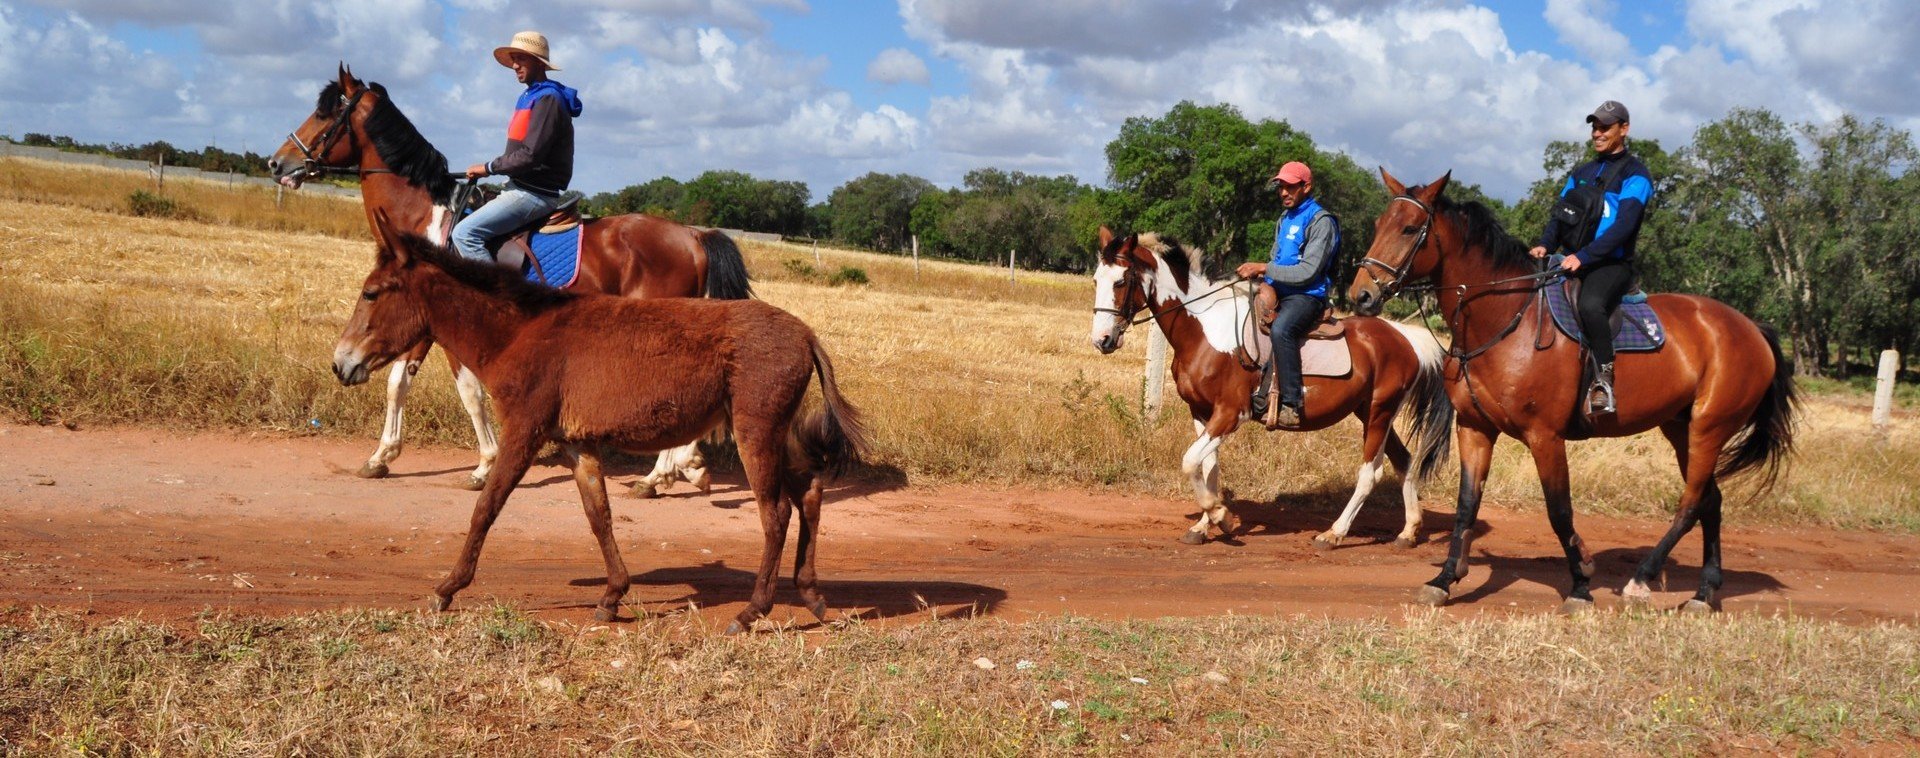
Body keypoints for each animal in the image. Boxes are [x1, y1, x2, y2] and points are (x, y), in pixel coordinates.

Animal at [270, 66, 748, 498]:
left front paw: (485, 464)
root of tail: (692, 235)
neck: (430, 217)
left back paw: (661, 474)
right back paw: (675, 470)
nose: (277, 162)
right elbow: (398, 383)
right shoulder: (420, 323)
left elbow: (469, 392)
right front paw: (381, 457)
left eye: (325, 112)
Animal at [334, 212, 867, 629]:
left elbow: (487, 508)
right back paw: (812, 597)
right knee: (811, 495)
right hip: (778, 434)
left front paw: (448, 587)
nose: (341, 364)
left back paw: (752, 610)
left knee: (776, 513)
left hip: (755, 432)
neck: (520, 333)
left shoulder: (524, 432)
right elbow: (599, 517)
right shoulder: (576, 444)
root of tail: (806, 333)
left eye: (371, 293)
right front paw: (612, 595)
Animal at [1090, 228, 1443, 548]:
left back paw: (1333, 533)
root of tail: (1406, 338)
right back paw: (1408, 531)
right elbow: (1208, 467)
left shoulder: (1231, 414)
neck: (1204, 330)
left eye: (1121, 281)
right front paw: (1204, 525)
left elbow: (1190, 461)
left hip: (1379, 413)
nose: (1102, 340)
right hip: (1370, 413)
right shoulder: (1202, 413)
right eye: (1096, 280)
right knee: (1404, 461)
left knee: (1371, 473)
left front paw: (1221, 515)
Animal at [1351, 168, 1797, 614]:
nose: (1361, 295)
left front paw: (1581, 583)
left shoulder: (1545, 437)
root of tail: (1751, 328)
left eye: (1410, 229)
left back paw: (1642, 579)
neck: (1507, 320)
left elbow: (1559, 511)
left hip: (1709, 428)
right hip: (1681, 429)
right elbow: (1466, 506)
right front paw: (1444, 580)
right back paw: (1704, 593)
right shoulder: (1475, 429)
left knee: (1690, 505)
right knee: (1711, 502)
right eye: (1378, 224)